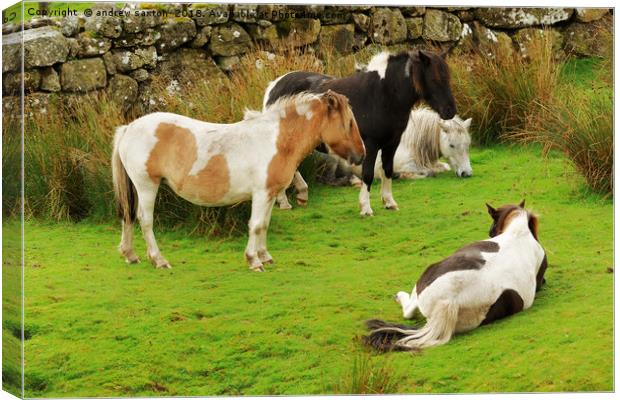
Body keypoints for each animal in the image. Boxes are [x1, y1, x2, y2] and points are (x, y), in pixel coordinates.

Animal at [112, 90, 366, 272]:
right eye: (348, 123)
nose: (361, 156)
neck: (277, 140)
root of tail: (129, 128)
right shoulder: (261, 194)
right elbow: (256, 225)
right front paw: (254, 260)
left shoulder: (270, 195)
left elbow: (264, 225)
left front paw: (265, 256)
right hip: (147, 185)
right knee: (145, 220)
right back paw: (159, 260)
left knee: (129, 216)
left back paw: (130, 255)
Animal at [262, 51, 456, 217]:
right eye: (434, 79)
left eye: (447, 77)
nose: (450, 111)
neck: (383, 94)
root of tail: (273, 87)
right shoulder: (369, 146)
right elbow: (367, 174)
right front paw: (366, 208)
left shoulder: (392, 144)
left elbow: (388, 170)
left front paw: (389, 202)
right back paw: (289, 199)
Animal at [364, 202, 548, 352]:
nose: (490, 232)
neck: (518, 233)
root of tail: (448, 300)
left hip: (424, 278)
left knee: (409, 311)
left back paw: (399, 296)